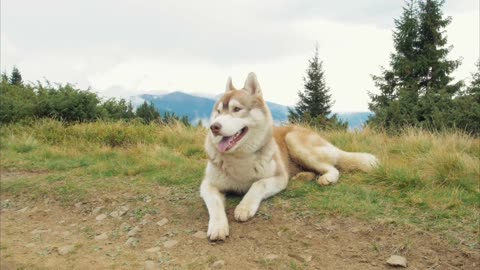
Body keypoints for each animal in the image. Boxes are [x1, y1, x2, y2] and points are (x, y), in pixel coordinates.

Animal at [200, 71, 378, 240]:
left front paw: (244, 206)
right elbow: (215, 204)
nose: (213, 127)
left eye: (236, 109)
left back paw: (326, 178)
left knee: (332, 167)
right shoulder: (207, 185)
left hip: (294, 140)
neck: (240, 158)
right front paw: (218, 226)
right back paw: (302, 176)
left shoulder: (279, 177)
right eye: (218, 112)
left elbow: (258, 184)